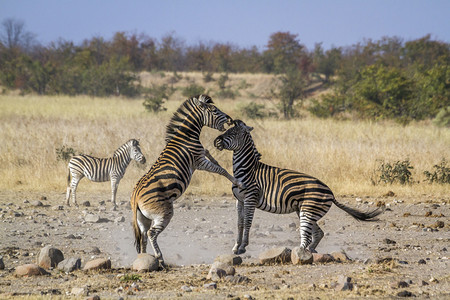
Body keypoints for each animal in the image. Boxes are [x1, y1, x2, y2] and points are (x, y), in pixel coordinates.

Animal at [130, 94, 243, 268]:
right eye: (214, 110)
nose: (230, 119)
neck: (187, 135)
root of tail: (135, 195)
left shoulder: (201, 155)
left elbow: (212, 157)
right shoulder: (198, 161)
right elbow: (220, 170)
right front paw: (237, 182)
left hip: (143, 218)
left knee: (143, 236)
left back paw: (144, 258)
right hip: (164, 213)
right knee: (151, 233)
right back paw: (160, 258)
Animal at [214, 119, 384, 260]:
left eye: (233, 133)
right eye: (227, 130)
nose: (216, 141)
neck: (246, 169)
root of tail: (331, 192)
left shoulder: (250, 198)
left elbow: (248, 223)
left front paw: (243, 247)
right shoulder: (239, 200)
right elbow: (239, 223)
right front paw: (236, 247)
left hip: (308, 211)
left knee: (307, 237)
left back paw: (299, 255)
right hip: (305, 211)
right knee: (318, 233)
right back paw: (310, 252)